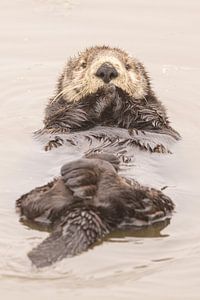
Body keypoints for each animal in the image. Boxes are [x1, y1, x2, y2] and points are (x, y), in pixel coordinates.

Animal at [36, 45, 180, 154]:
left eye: (127, 65)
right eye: (83, 64)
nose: (107, 69)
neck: (107, 118)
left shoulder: (155, 120)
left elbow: (149, 115)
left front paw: (117, 92)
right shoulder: (56, 119)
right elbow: (67, 115)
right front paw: (105, 92)